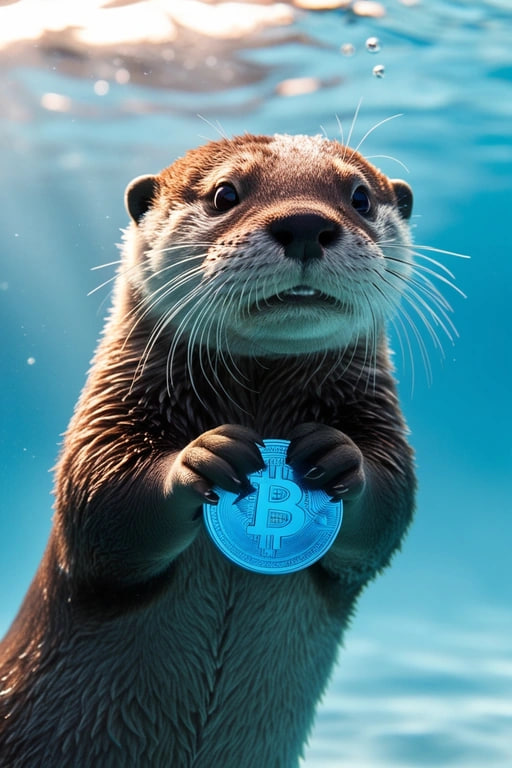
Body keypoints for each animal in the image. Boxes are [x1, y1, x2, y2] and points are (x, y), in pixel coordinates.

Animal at [0, 133, 416, 767]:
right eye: (225, 193)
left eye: (360, 197)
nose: (304, 223)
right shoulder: (108, 415)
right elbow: (98, 505)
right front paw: (199, 460)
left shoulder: (380, 421)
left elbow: (388, 512)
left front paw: (341, 459)